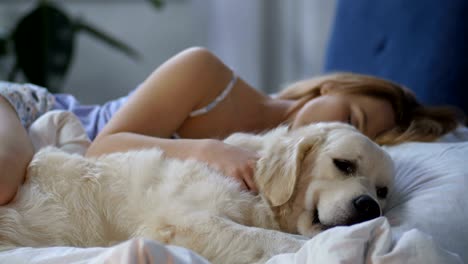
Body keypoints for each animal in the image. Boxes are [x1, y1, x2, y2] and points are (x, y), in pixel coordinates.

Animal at [0, 120, 394, 262]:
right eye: (344, 164)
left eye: (383, 191)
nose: (369, 207)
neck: (260, 191)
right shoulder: (182, 221)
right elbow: (274, 239)